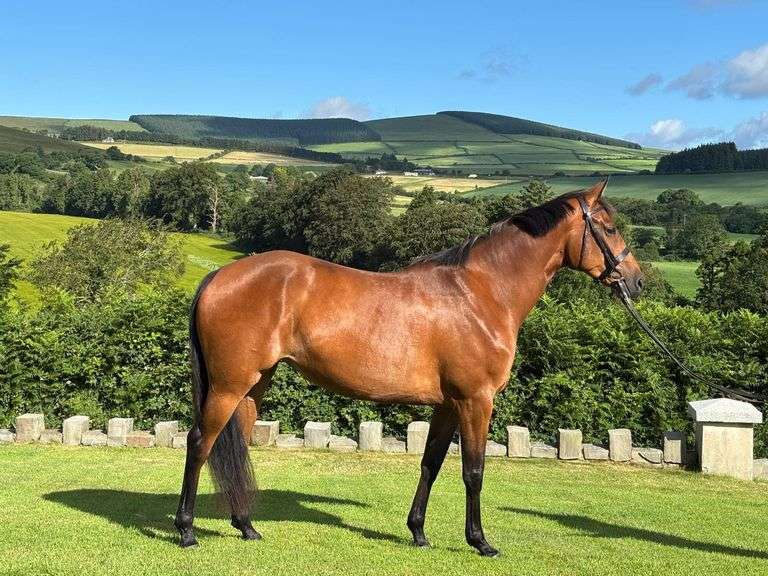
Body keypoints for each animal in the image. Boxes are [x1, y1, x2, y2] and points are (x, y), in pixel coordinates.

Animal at [174, 178, 644, 556]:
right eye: (608, 228)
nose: (637, 281)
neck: (481, 294)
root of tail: (219, 276)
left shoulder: (449, 405)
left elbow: (430, 464)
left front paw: (418, 532)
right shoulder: (476, 401)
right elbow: (473, 471)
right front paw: (480, 541)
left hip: (253, 386)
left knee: (234, 444)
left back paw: (246, 526)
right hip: (229, 386)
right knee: (199, 443)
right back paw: (186, 531)